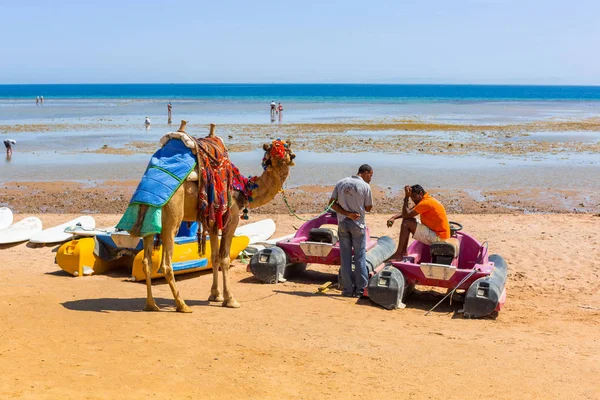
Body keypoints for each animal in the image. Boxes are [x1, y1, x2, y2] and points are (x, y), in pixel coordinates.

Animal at [135, 122, 296, 312]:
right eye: (276, 151)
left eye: (285, 148)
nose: (289, 158)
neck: (244, 188)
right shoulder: (231, 218)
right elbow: (224, 258)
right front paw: (230, 300)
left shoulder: (212, 222)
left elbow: (214, 257)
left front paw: (215, 295)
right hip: (172, 216)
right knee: (166, 264)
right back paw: (182, 305)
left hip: (149, 219)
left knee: (146, 262)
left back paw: (151, 305)